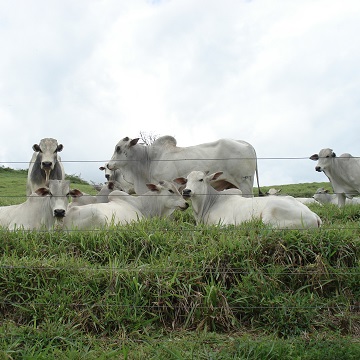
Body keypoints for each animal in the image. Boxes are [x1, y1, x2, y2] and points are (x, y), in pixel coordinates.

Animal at [174, 171, 320, 228]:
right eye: (186, 181)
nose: (186, 191)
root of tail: (315, 216)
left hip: (269, 217)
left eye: (201, 179)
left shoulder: (225, 223)